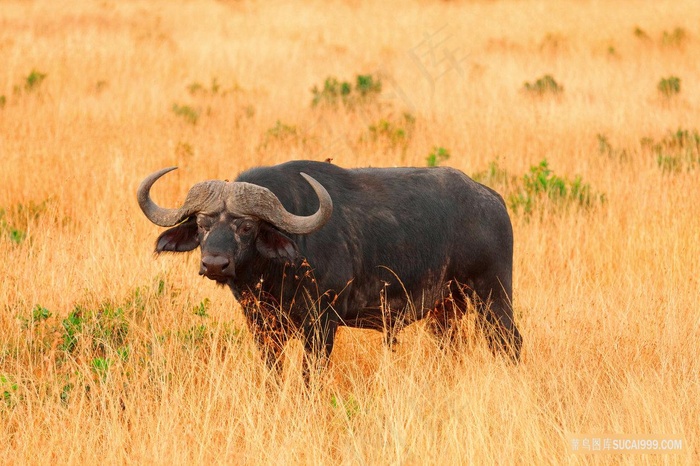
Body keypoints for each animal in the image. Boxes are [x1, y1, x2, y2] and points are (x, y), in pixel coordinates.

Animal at [137, 160, 524, 372]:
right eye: (202, 224)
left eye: (246, 226)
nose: (214, 263)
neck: (277, 273)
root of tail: (493, 201)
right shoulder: (261, 325)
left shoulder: (321, 325)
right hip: (446, 311)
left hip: (493, 296)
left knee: (510, 344)